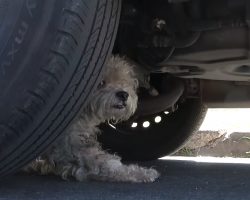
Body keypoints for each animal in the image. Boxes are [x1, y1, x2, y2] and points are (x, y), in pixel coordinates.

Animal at [24, 55, 159, 183]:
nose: (124, 94)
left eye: (123, 81)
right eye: (101, 82)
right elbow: (107, 165)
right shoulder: (74, 149)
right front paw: (143, 173)